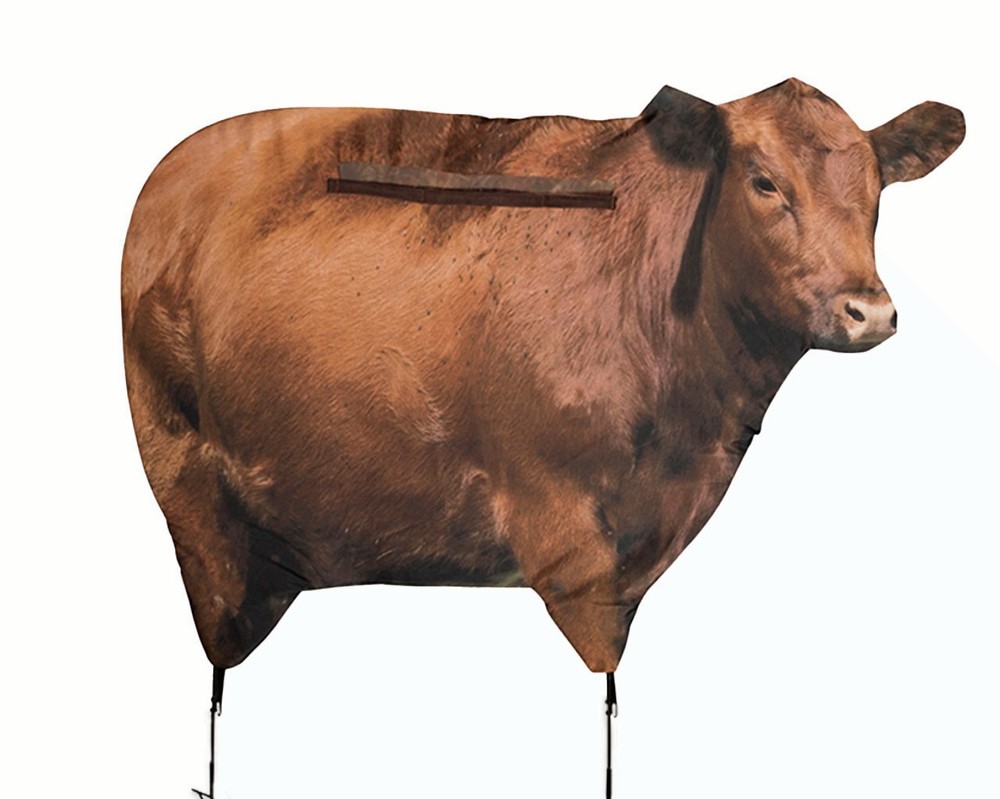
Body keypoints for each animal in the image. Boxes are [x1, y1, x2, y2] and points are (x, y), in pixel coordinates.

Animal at [122, 79, 964, 680]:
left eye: (877, 187)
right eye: (764, 182)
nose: (868, 310)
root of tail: (171, 168)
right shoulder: (553, 512)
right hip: (184, 475)